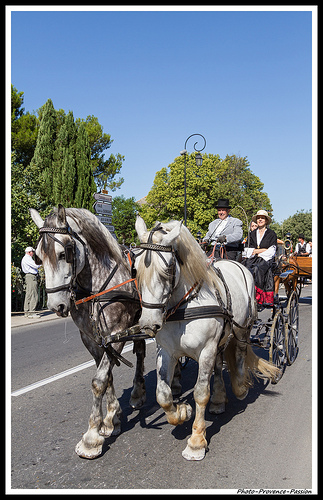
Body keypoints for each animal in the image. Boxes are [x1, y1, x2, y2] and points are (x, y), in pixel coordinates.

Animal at [29, 205, 146, 458]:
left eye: (66, 252)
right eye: (39, 257)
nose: (56, 306)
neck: (97, 289)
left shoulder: (116, 334)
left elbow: (98, 381)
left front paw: (92, 436)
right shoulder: (92, 339)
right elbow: (107, 375)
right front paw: (112, 419)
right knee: (141, 352)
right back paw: (138, 393)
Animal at [135, 215, 280, 460]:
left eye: (168, 268)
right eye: (135, 268)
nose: (148, 324)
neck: (185, 304)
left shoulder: (206, 350)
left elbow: (201, 393)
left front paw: (196, 441)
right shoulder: (166, 351)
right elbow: (162, 394)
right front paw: (181, 412)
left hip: (242, 327)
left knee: (240, 352)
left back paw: (240, 387)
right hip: (220, 340)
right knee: (219, 365)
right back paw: (219, 399)